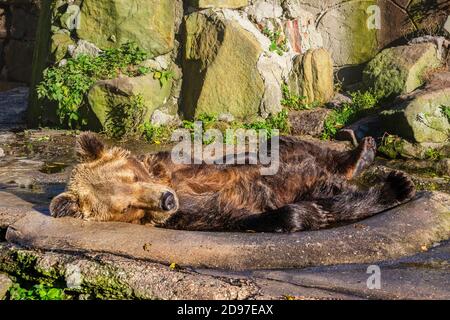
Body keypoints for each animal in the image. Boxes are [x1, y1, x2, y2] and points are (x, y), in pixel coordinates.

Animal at [50, 132, 414, 232]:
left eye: (134, 176)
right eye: (127, 206)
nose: (166, 199)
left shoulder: (181, 167)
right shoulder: (196, 214)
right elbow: (246, 215)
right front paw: (308, 214)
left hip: (294, 155)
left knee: (298, 148)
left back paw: (362, 152)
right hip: (317, 183)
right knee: (336, 193)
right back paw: (396, 185)